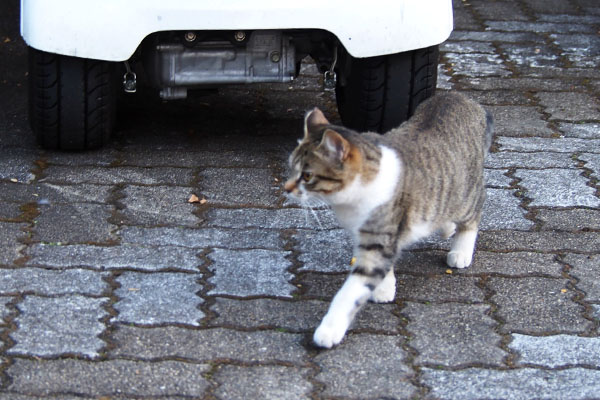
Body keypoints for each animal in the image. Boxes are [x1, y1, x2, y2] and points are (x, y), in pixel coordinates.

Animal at [284, 92, 494, 348]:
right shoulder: (368, 235)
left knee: (475, 209)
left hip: (466, 192)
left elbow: (351, 290)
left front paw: (329, 329)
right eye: (291, 169)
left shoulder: (380, 235)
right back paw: (445, 227)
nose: (286, 188)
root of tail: (459, 96)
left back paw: (461, 250)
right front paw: (384, 287)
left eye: (307, 176)